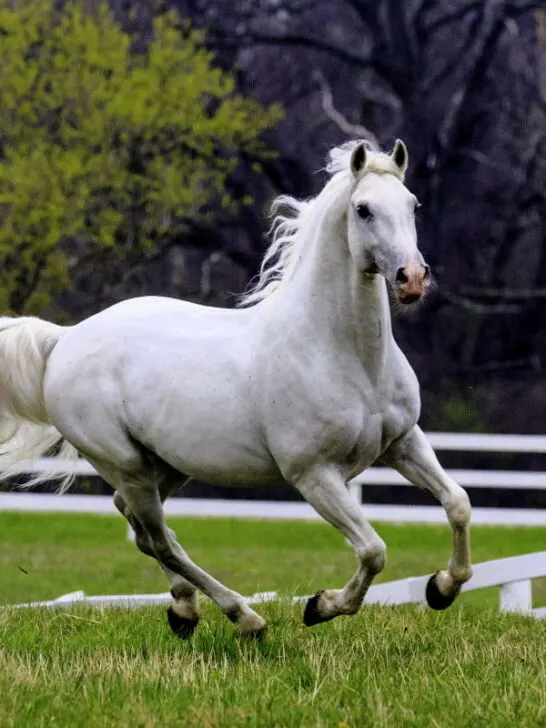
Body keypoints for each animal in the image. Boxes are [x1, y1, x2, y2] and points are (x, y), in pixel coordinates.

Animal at [0, 139, 472, 637]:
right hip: (124, 463)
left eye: (412, 204)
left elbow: (458, 503)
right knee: (158, 538)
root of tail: (65, 338)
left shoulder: (403, 442)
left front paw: (441, 588)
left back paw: (185, 608)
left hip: (167, 463)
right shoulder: (315, 475)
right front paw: (321, 606)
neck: (345, 355)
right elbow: (373, 550)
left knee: (140, 527)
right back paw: (244, 617)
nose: (412, 278)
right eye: (363, 209)